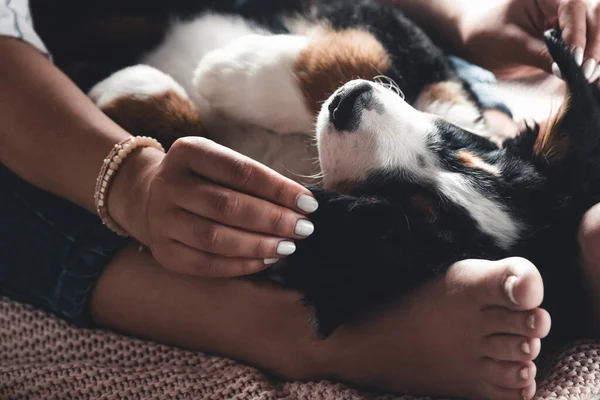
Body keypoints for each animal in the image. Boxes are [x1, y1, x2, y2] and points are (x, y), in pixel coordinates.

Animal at [37, 0, 600, 344]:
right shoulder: (405, 37)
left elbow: (189, 138)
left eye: (399, 212)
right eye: (456, 148)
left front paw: (143, 86)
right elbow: (377, 55)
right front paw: (235, 69)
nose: (349, 104)